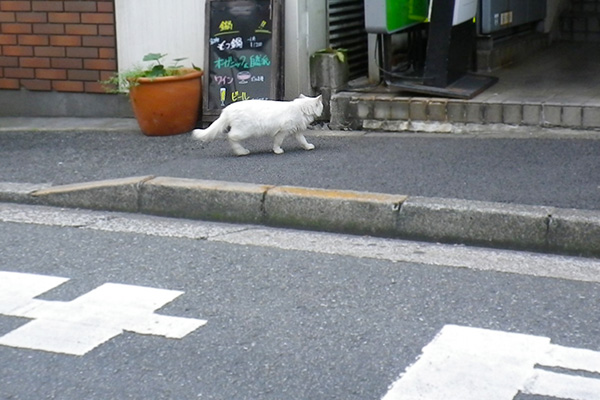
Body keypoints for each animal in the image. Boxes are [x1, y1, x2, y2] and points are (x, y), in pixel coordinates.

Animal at [192, 94, 324, 155]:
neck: (300, 109)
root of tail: (226, 109)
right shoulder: (282, 132)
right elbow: (277, 142)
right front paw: (277, 150)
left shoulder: (297, 132)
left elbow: (303, 140)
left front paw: (308, 147)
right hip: (244, 132)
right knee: (230, 137)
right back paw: (241, 151)